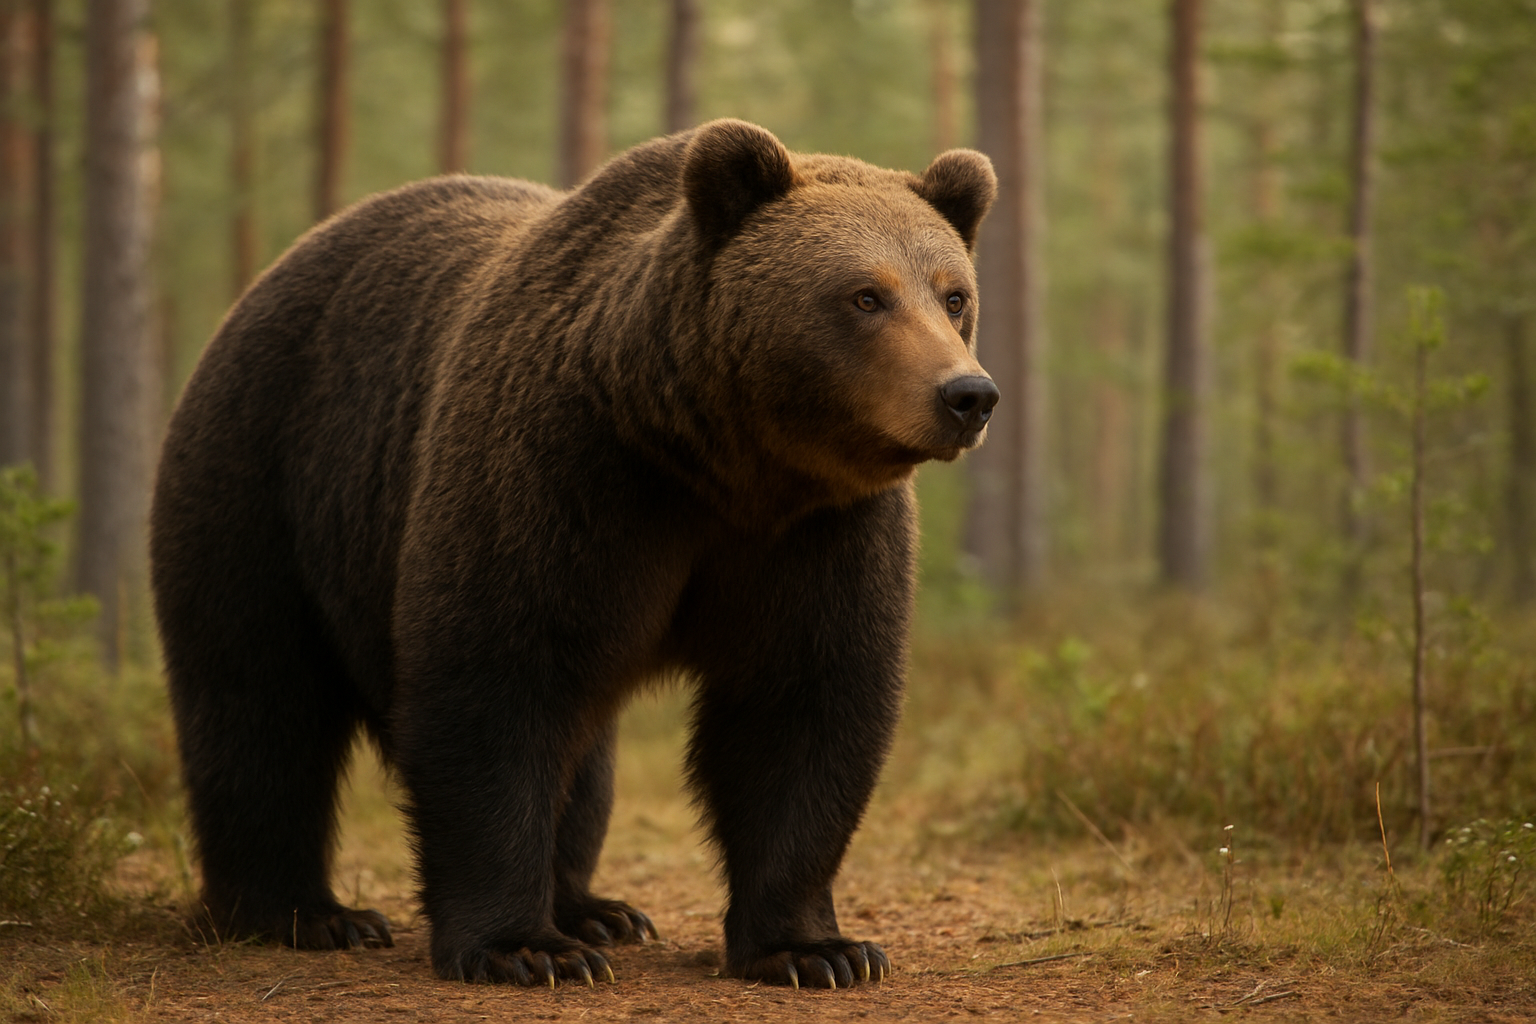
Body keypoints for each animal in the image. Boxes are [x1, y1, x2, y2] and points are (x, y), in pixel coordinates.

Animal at [150, 119, 998, 989]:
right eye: (865, 295)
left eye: (953, 293)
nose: (967, 395)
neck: (717, 460)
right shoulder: (560, 474)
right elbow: (494, 683)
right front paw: (522, 947)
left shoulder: (818, 531)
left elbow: (803, 704)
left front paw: (815, 949)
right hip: (265, 480)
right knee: (259, 701)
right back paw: (307, 913)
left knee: (586, 758)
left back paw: (597, 909)